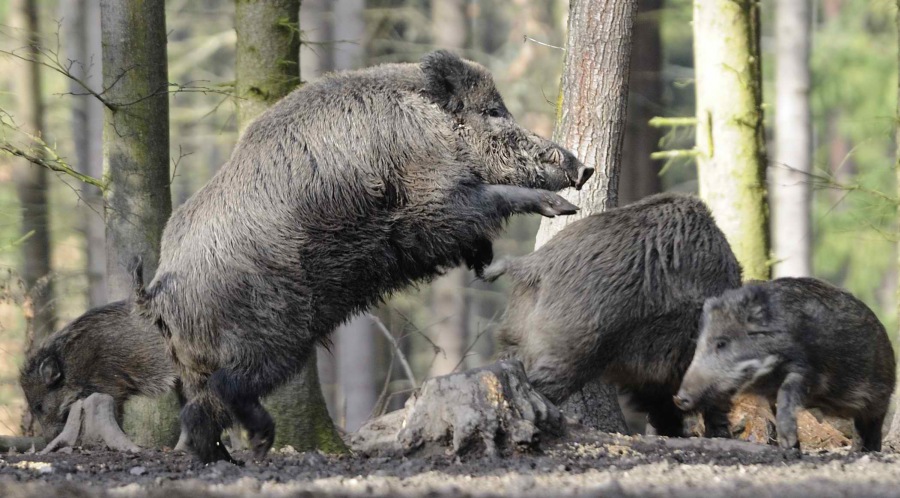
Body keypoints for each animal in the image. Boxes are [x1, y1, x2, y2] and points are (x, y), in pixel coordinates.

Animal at [136, 50, 590, 463]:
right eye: (493, 112)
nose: (582, 169)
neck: (428, 123)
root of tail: (158, 294)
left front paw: (487, 263)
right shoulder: (427, 193)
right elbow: (476, 203)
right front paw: (560, 209)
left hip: (206, 361)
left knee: (198, 410)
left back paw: (223, 459)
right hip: (269, 333)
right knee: (227, 389)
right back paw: (260, 444)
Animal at [674, 278, 896, 452]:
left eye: (722, 343)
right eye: (697, 344)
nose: (678, 398)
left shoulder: (807, 370)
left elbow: (788, 393)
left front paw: (788, 442)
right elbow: (775, 409)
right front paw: (790, 447)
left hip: (881, 392)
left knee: (873, 423)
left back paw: (870, 451)